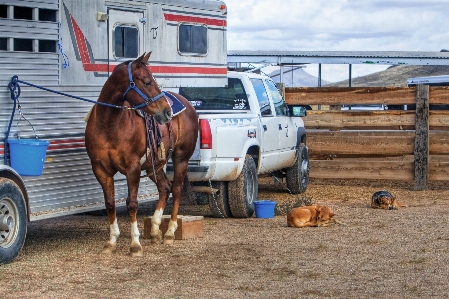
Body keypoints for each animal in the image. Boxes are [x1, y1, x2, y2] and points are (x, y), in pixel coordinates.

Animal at [85, 52, 197, 256]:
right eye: (147, 82)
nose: (167, 112)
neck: (109, 124)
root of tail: (188, 105)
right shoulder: (100, 169)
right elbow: (110, 203)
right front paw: (111, 241)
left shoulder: (133, 168)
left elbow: (132, 203)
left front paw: (135, 244)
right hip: (155, 165)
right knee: (164, 188)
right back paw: (154, 230)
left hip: (180, 159)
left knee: (176, 190)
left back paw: (169, 233)